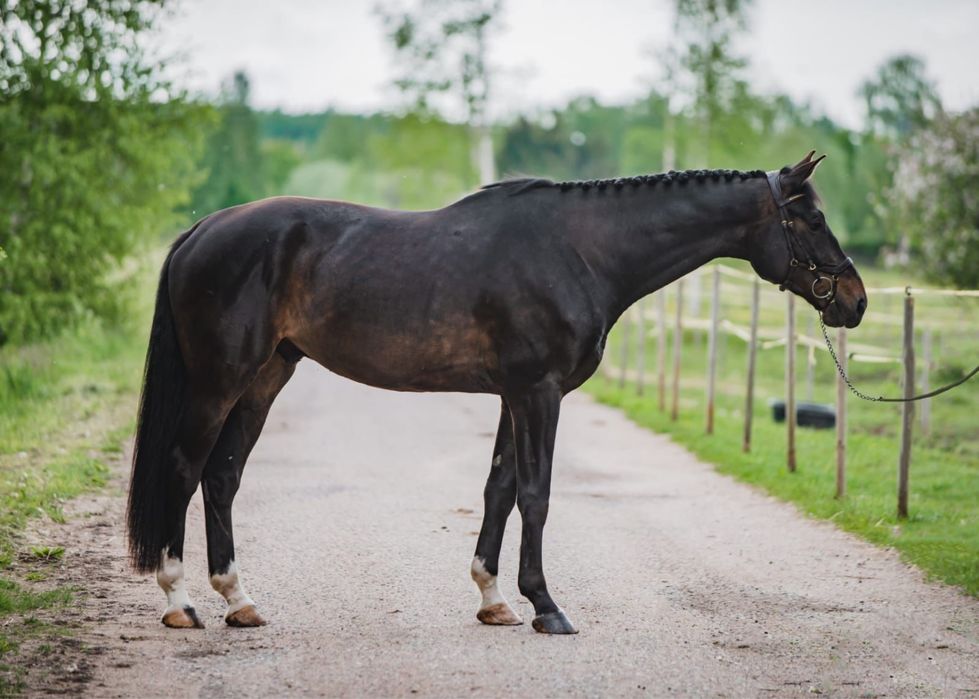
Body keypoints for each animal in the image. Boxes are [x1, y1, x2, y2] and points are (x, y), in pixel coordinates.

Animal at [128, 153, 864, 636]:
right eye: (812, 219)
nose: (854, 301)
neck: (580, 252)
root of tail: (202, 230)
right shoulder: (540, 393)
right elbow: (536, 494)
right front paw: (546, 606)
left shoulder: (516, 394)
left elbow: (500, 489)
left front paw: (493, 598)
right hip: (221, 380)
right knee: (185, 469)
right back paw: (179, 602)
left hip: (266, 377)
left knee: (222, 477)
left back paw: (239, 601)